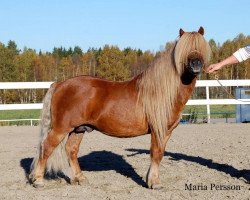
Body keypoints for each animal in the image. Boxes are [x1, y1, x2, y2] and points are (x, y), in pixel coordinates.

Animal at [29, 27, 211, 189]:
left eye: (201, 47)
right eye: (184, 49)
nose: (196, 64)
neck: (163, 91)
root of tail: (60, 84)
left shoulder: (167, 132)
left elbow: (160, 154)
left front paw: (152, 180)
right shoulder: (157, 130)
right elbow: (156, 153)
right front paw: (154, 183)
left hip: (78, 129)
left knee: (71, 150)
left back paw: (80, 178)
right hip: (61, 128)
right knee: (46, 148)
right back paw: (38, 180)